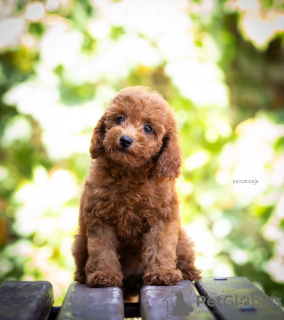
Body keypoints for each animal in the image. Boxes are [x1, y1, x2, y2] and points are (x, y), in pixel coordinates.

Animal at [72, 85, 201, 298]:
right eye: (119, 119)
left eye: (148, 128)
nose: (125, 139)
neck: (129, 174)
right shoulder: (99, 217)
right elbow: (102, 249)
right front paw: (104, 275)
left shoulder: (162, 217)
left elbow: (161, 246)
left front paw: (162, 273)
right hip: (80, 243)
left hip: (183, 240)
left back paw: (187, 272)